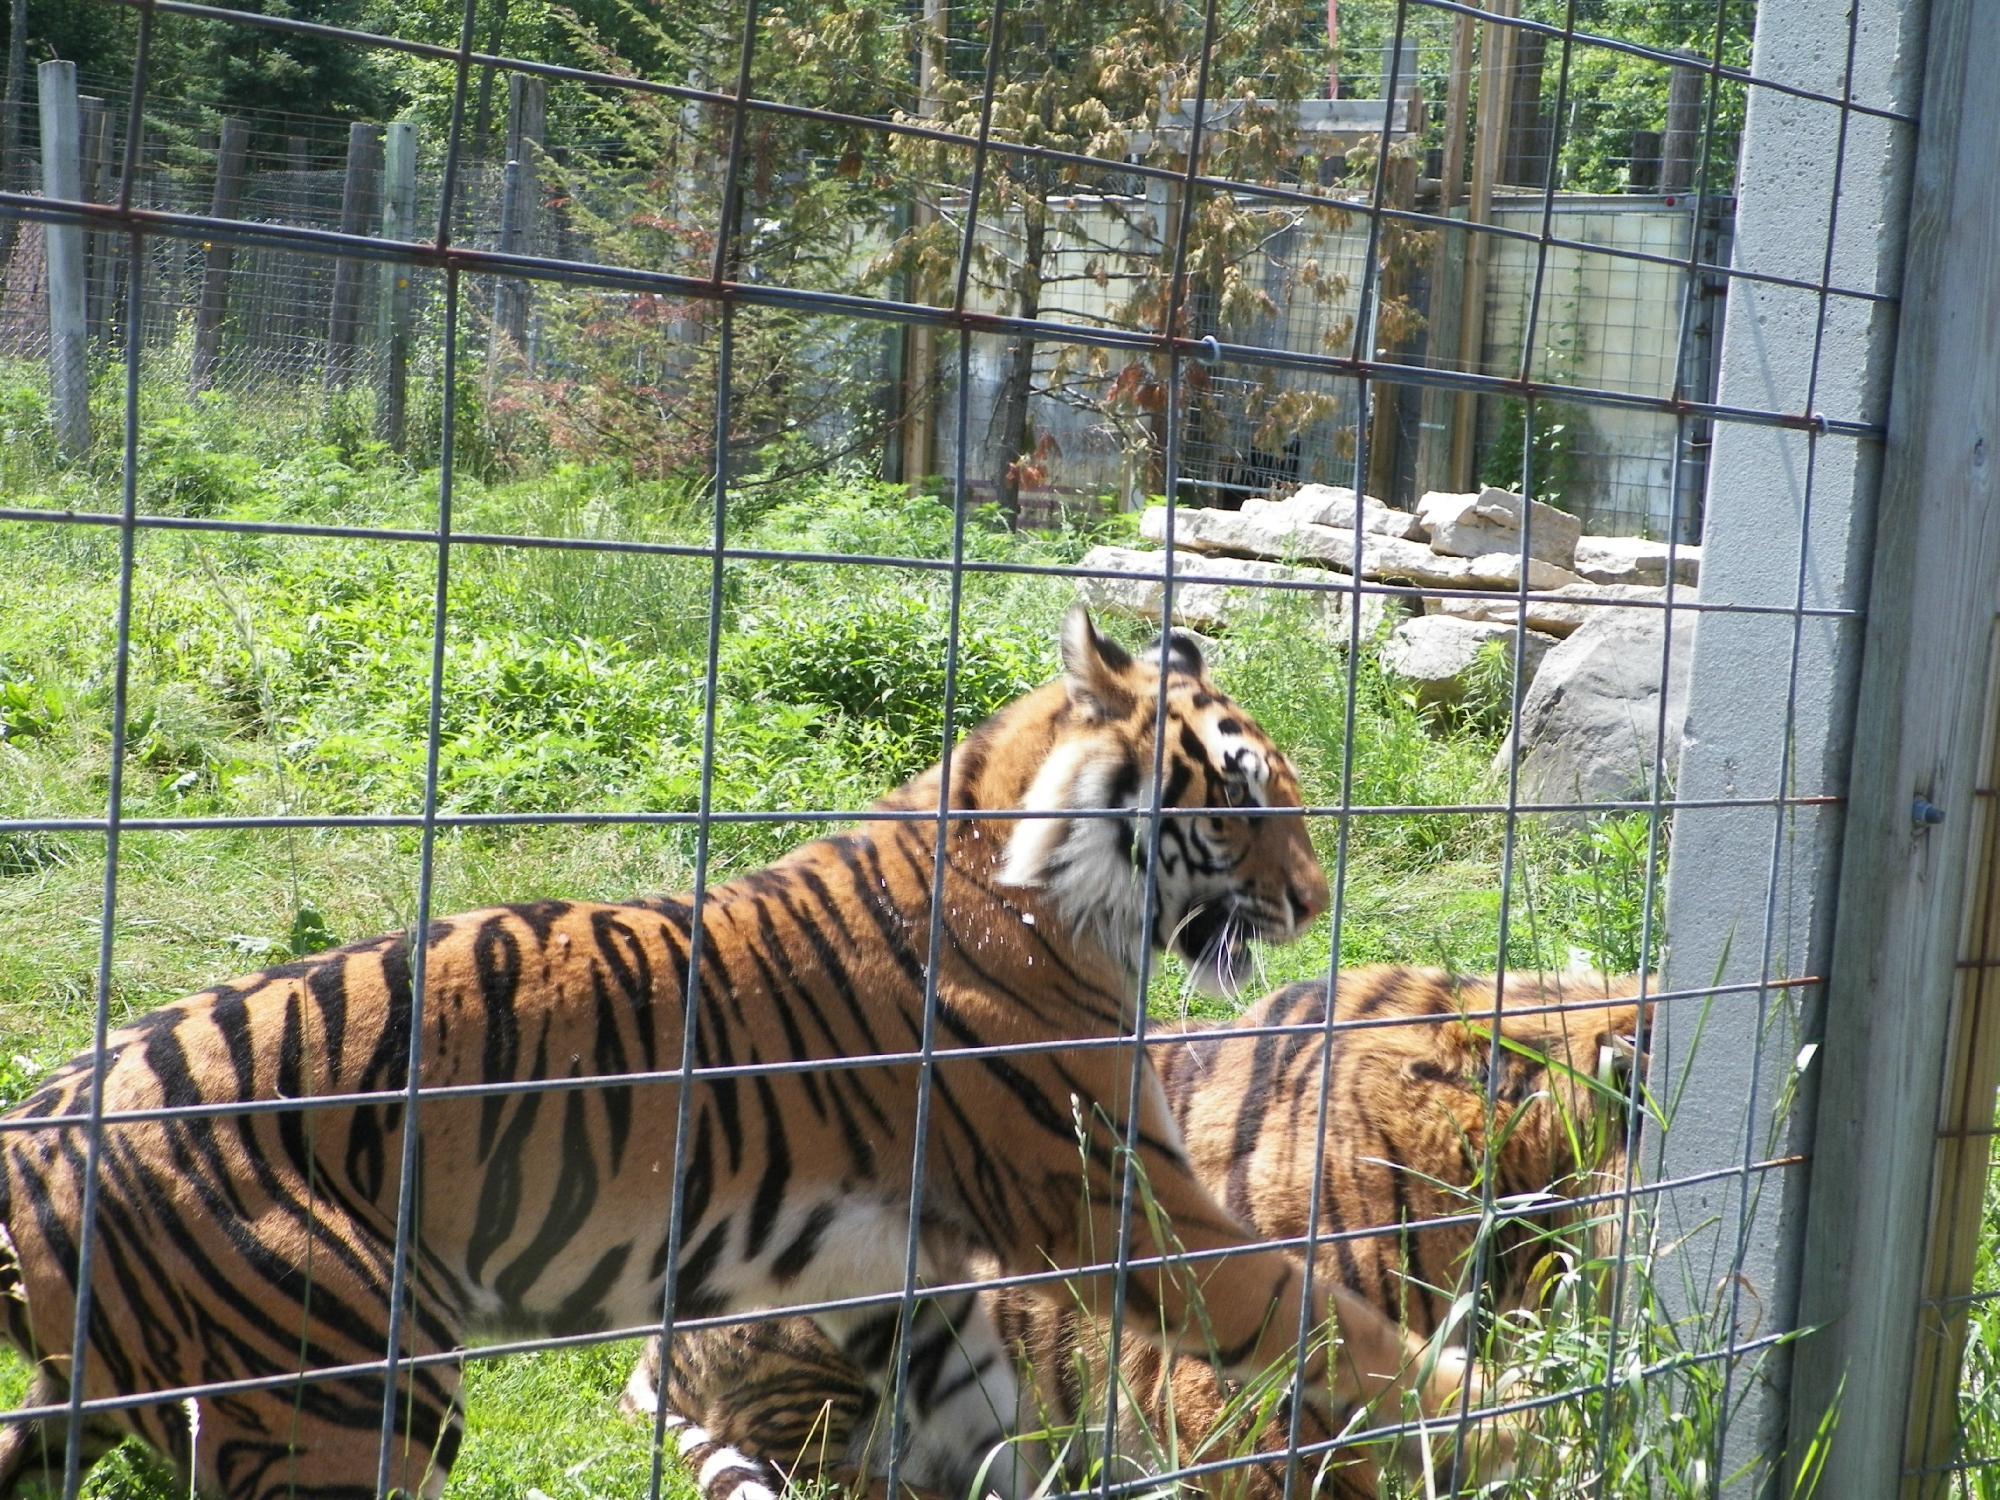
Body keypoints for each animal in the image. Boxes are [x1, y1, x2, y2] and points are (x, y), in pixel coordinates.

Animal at [0, 612, 1504, 1500]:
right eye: (1245, 803)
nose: (1312, 897)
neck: (1038, 873)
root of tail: (30, 1149)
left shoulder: (895, 1262)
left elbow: (976, 1404)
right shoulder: (1115, 1196)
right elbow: (1330, 1324)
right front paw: (1508, 1419)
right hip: (342, 1394)